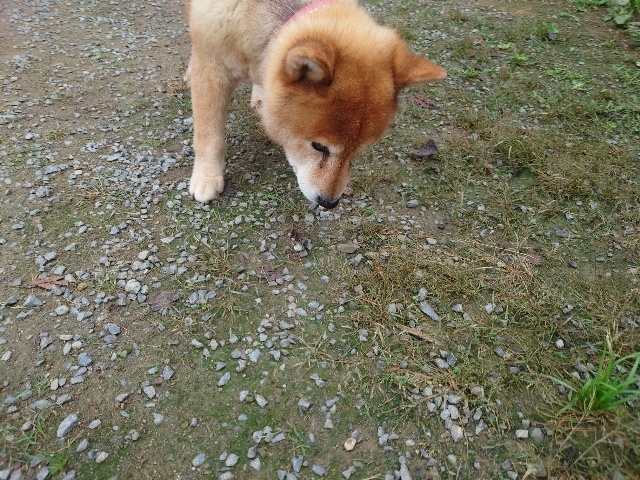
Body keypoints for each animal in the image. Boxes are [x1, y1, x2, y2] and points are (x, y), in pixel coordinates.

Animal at [185, 0, 446, 209]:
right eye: (319, 147)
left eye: (359, 151)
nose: (329, 203)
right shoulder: (213, 72)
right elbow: (210, 135)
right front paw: (207, 177)